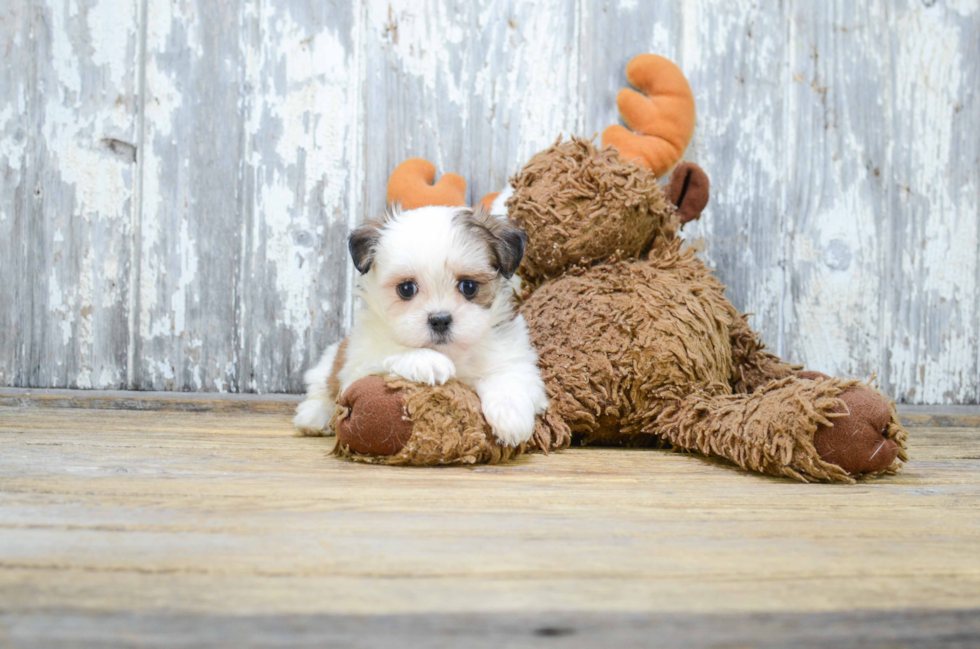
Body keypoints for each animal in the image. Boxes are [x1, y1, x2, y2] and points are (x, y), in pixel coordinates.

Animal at [290, 204, 552, 446]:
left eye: (469, 287)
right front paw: (426, 360)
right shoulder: (358, 362)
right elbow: (388, 350)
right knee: (319, 390)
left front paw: (510, 417)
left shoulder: (514, 356)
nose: (440, 319)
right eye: (406, 288)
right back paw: (313, 418)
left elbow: (509, 376)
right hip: (327, 364)